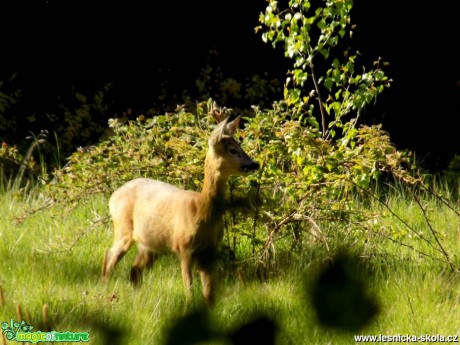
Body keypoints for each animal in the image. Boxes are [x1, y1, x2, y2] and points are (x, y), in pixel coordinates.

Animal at [101, 103, 258, 302]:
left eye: (240, 145)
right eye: (232, 150)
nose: (254, 164)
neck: (202, 212)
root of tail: (113, 196)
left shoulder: (209, 251)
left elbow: (209, 291)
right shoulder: (183, 247)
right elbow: (188, 286)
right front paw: (189, 304)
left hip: (150, 244)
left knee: (134, 270)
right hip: (123, 228)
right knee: (110, 257)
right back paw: (105, 291)